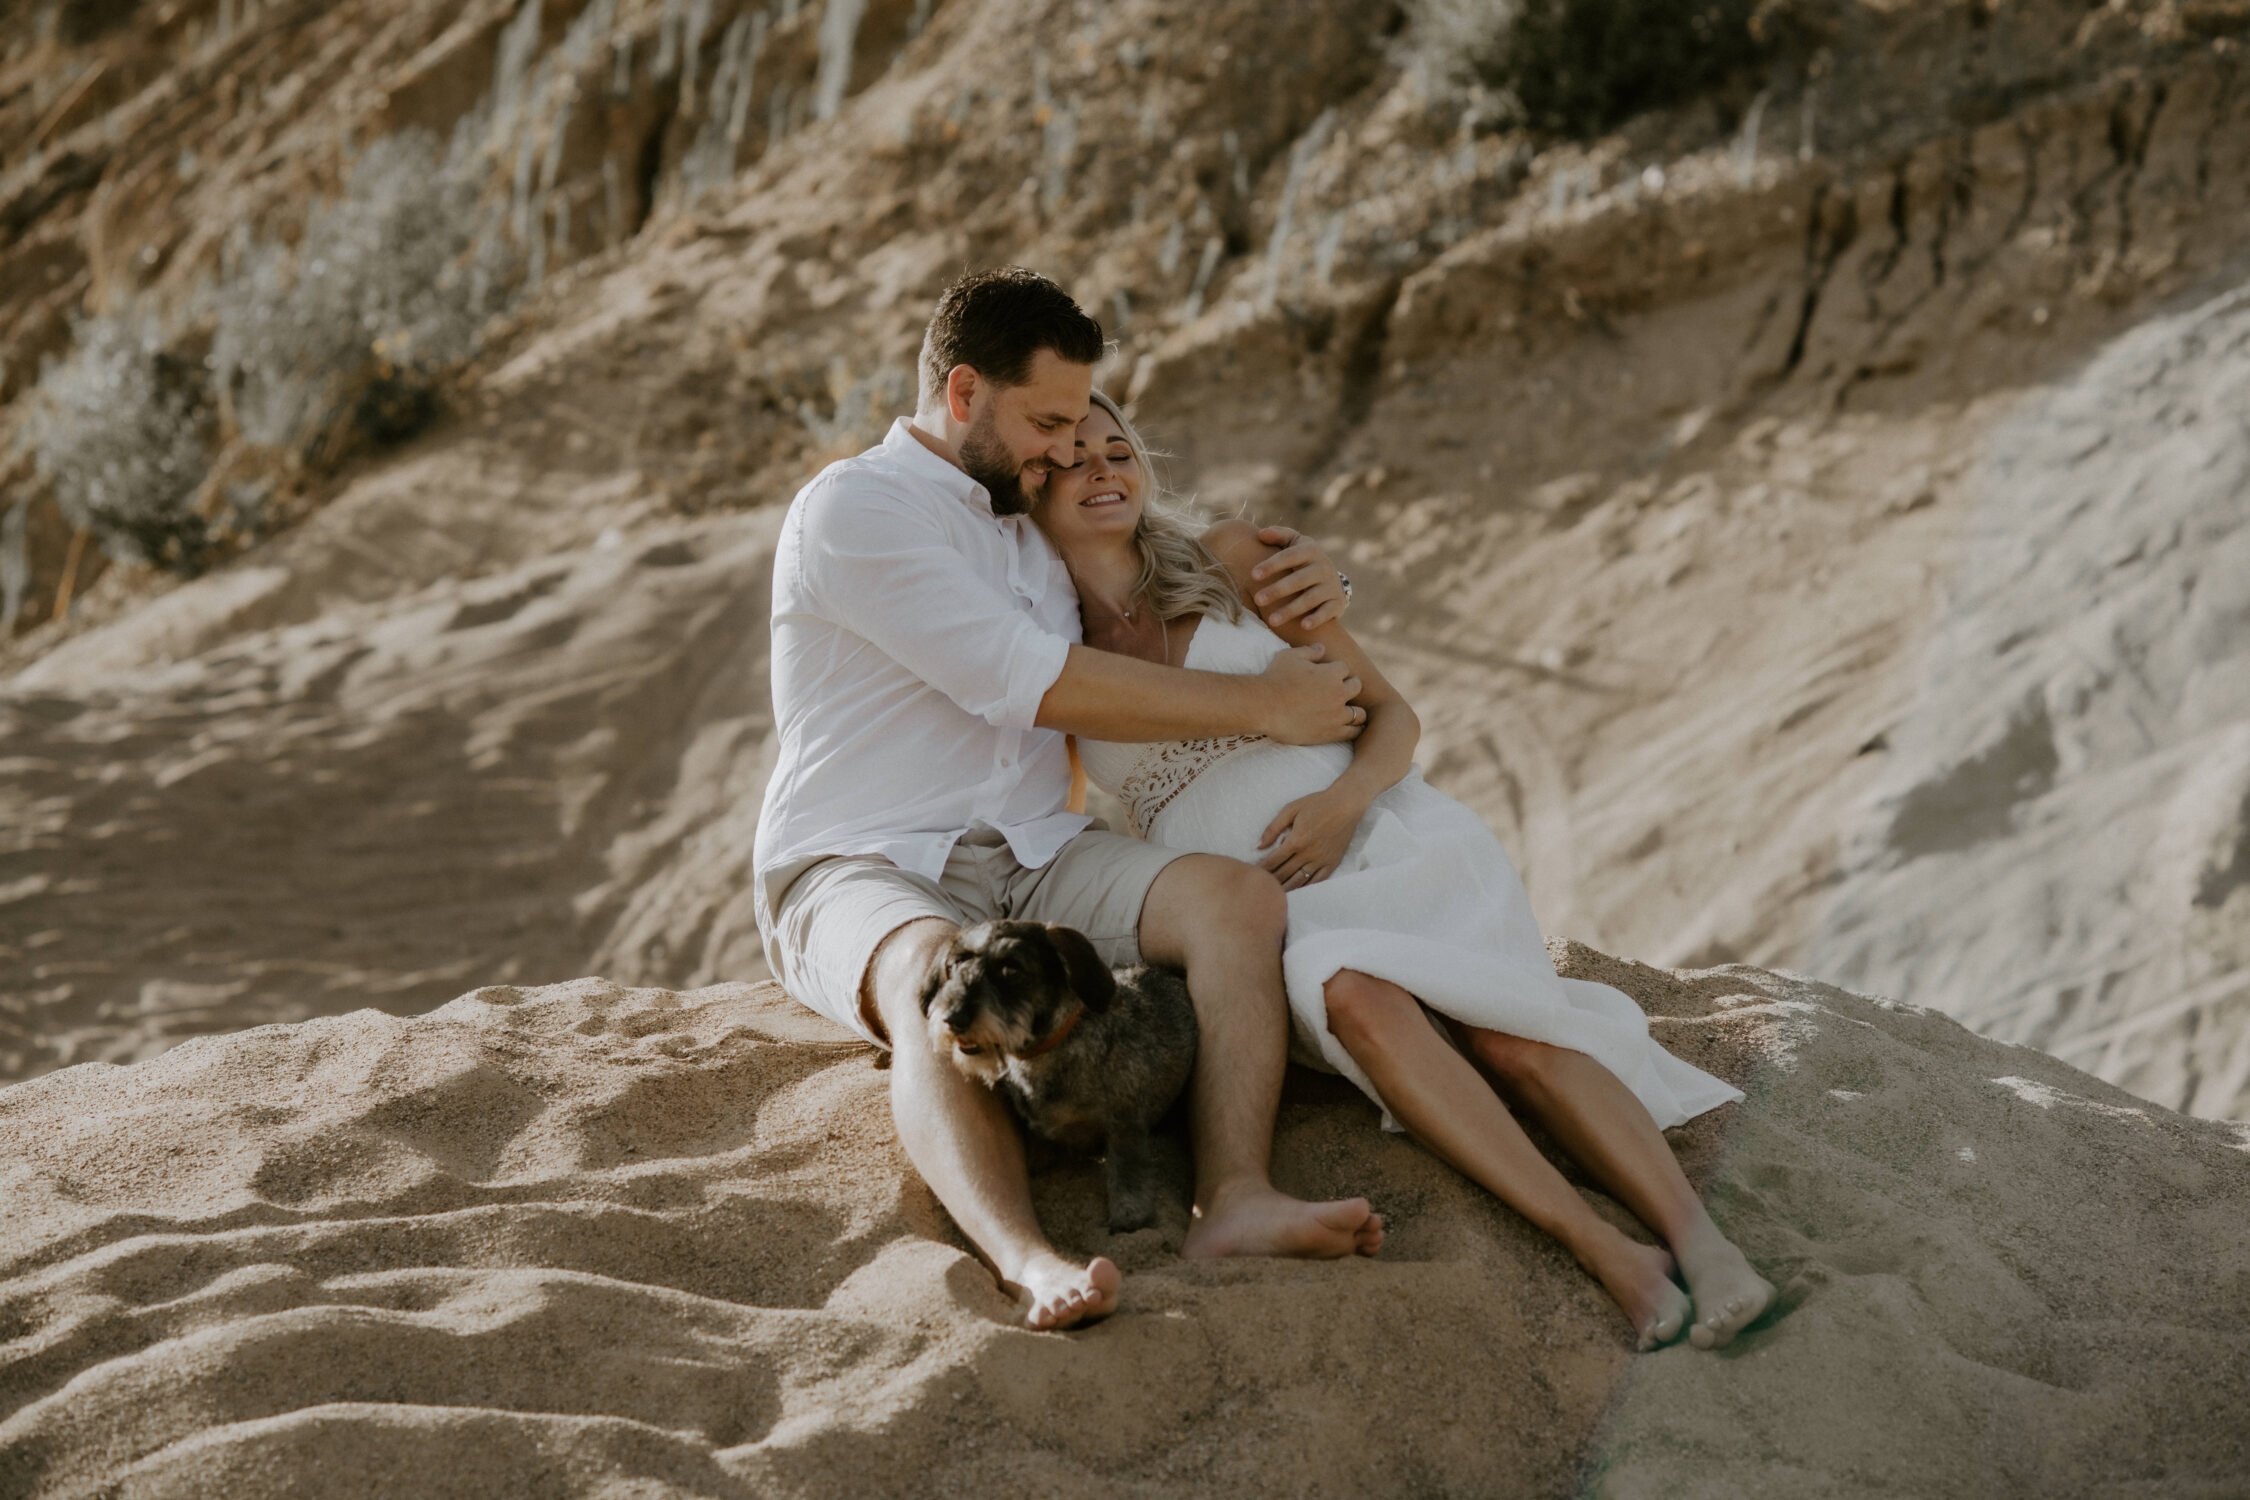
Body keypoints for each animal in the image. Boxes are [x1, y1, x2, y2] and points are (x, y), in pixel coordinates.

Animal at [918, 917, 1197, 1232]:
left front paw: (1129, 1214)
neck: (1047, 1053)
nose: (953, 1019)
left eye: (1011, 969)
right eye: (954, 965)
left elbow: (1127, 1169)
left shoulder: (1125, 1123)